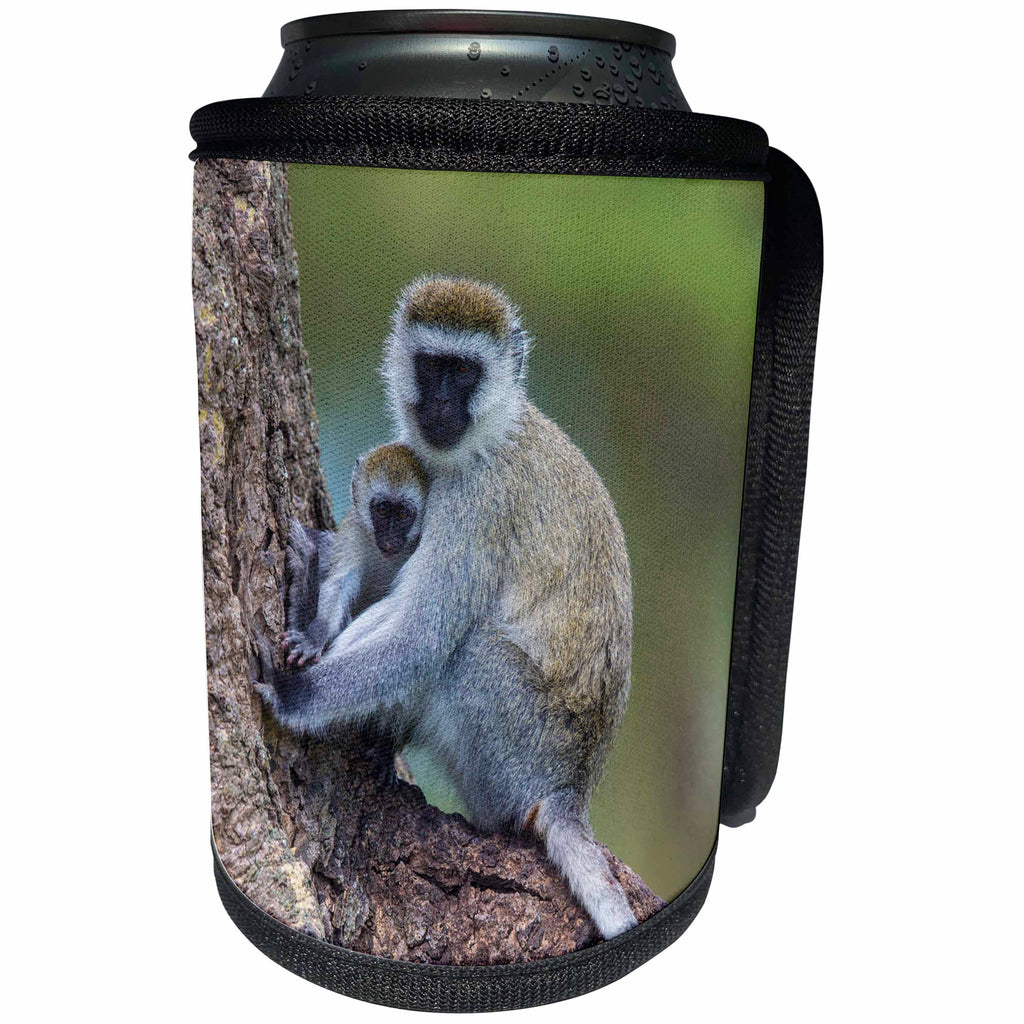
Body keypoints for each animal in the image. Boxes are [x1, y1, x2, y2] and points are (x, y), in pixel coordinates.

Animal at [280, 441, 428, 668]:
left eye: (403, 513)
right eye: (382, 509)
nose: (390, 538)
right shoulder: (354, 532)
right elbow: (340, 582)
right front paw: (316, 635)